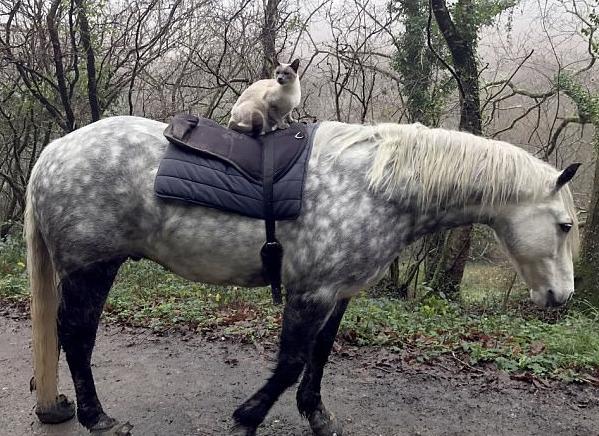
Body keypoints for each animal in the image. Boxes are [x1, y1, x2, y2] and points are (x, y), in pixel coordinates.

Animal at [25, 116, 580, 436]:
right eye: (565, 225)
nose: (562, 296)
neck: (377, 185)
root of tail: (53, 152)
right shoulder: (310, 292)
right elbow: (291, 361)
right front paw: (247, 417)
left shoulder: (337, 292)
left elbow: (320, 354)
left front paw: (315, 413)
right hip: (92, 268)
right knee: (76, 336)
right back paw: (97, 417)